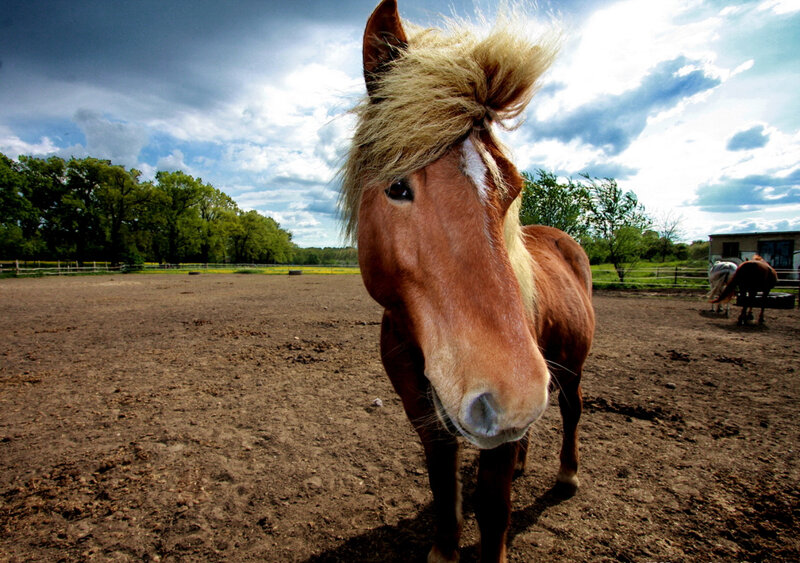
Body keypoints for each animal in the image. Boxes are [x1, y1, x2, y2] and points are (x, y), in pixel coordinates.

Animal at [340, 1, 595, 561]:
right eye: (397, 186)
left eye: (513, 186)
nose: (514, 396)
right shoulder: (423, 411)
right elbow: (443, 482)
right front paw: (444, 549)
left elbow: (494, 509)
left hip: (569, 368)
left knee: (572, 410)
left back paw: (567, 476)